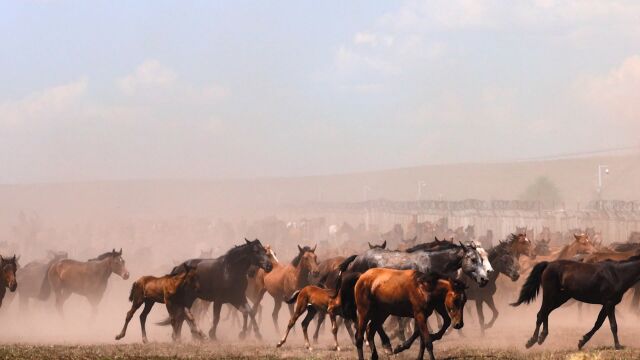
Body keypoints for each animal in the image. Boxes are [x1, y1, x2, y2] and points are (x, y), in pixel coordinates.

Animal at [510, 255, 640, 350]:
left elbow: (598, 324)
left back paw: (541, 337)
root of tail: (548, 264)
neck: (617, 275)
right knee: (541, 314)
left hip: (561, 298)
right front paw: (618, 346)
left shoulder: (606, 305)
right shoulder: (609, 303)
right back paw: (532, 341)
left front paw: (581, 342)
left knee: (546, 312)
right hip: (550, 295)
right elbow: (613, 325)